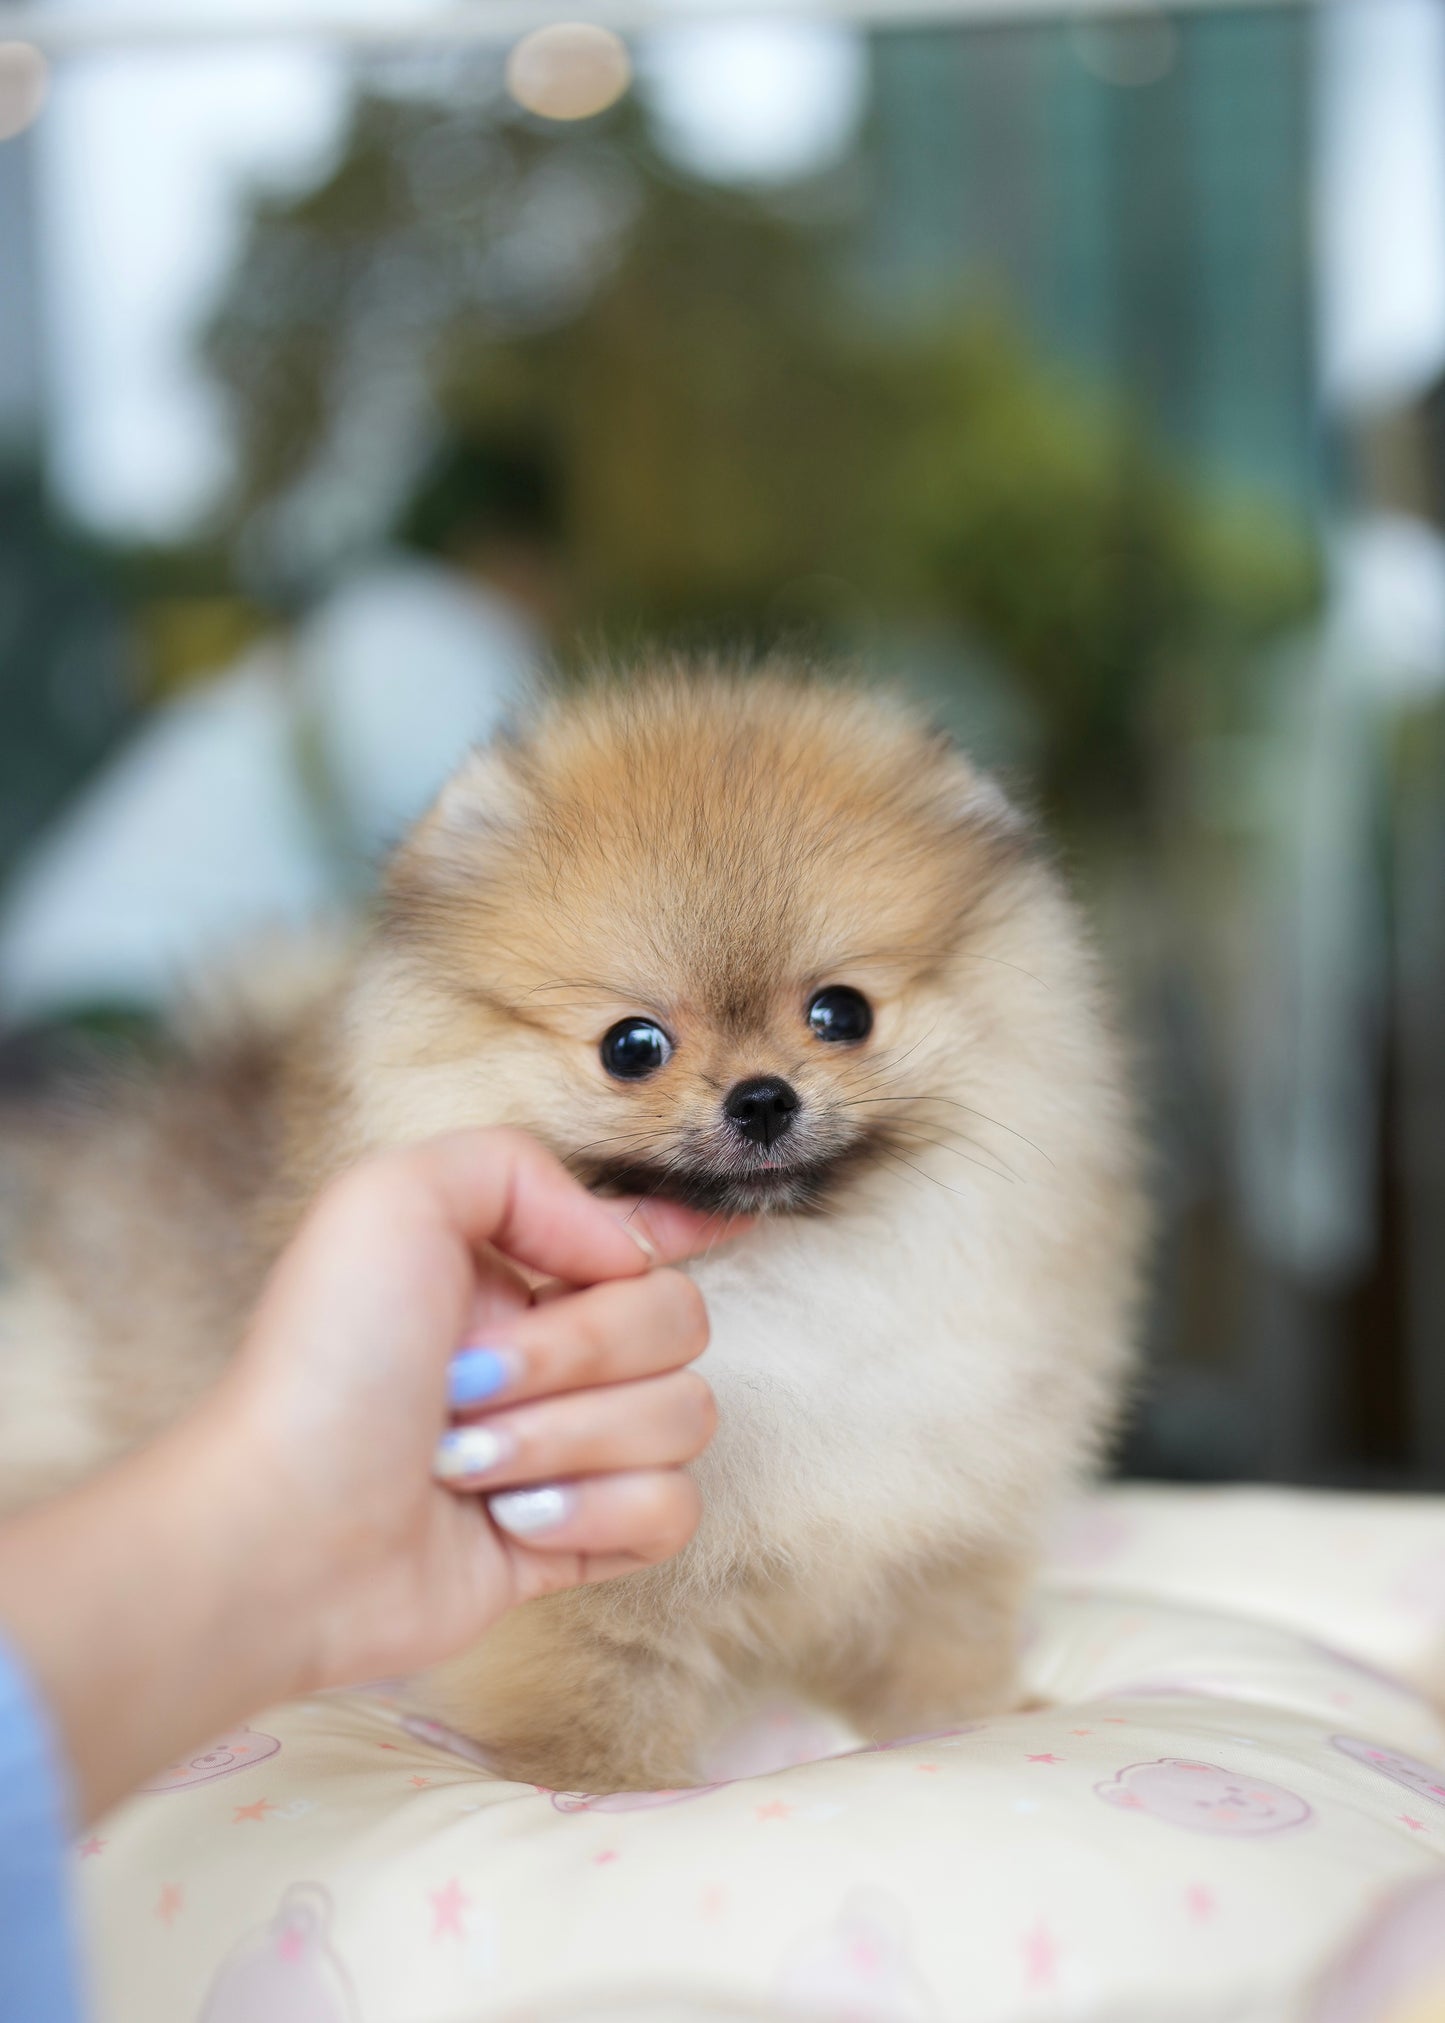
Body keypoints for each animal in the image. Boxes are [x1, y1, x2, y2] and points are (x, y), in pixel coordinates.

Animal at [2, 667, 1149, 1788]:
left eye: (842, 1012)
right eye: (630, 1045)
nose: (762, 1097)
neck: (787, 1276)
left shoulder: (938, 1517)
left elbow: (936, 1646)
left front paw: (973, 1721)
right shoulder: (593, 1583)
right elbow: (594, 1686)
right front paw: (605, 1788)